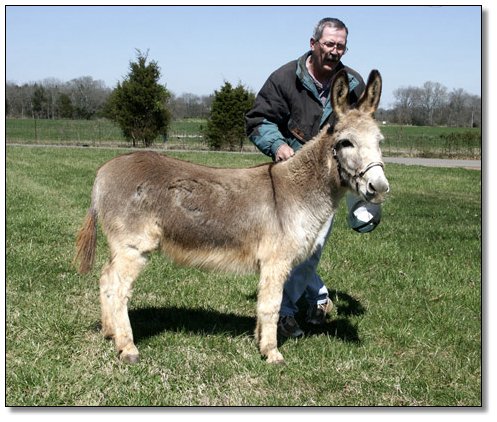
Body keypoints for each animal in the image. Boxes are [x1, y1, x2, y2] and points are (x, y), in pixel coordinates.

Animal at [74, 69, 389, 364]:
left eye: (380, 141)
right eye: (346, 143)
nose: (380, 188)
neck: (299, 190)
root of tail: (103, 171)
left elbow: (262, 304)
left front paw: (260, 341)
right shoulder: (276, 261)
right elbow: (271, 306)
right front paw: (272, 353)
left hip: (122, 247)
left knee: (105, 278)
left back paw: (110, 332)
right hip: (133, 246)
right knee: (118, 289)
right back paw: (127, 348)